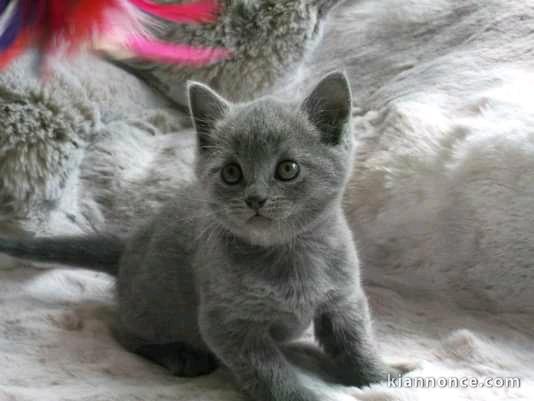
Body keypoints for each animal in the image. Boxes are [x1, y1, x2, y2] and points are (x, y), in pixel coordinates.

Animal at [1, 72, 398, 400]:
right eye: (232, 173)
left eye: (288, 169)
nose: (255, 198)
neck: (288, 256)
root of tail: (129, 245)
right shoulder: (227, 323)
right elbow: (269, 371)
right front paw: (300, 397)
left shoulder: (344, 298)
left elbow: (355, 342)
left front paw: (380, 376)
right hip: (152, 308)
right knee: (122, 331)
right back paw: (179, 355)